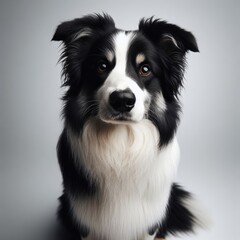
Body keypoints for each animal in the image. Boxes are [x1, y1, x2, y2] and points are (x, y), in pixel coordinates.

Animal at [52, 13, 204, 240]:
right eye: (102, 66)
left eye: (145, 69)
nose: (122, 100)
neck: (122, 144)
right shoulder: (86, 221)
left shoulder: (148, 223)